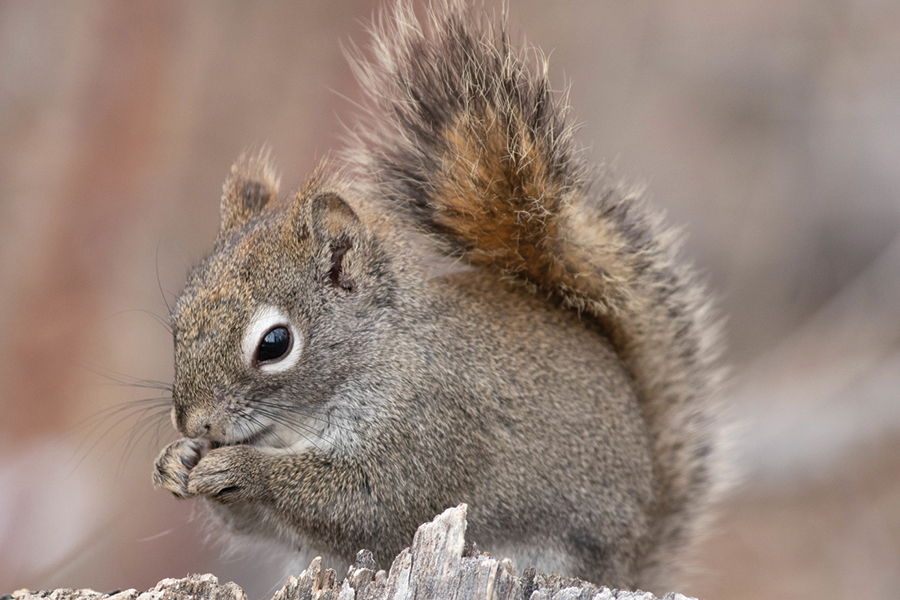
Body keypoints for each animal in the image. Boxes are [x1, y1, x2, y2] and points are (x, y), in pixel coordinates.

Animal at [149, 0, 724, 592]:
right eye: (179, 318)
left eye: (275, 344)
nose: (194, 423)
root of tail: (634, 568)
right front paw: (175, 460)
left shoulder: (429, 422)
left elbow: (366, 500)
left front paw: (241, 467)